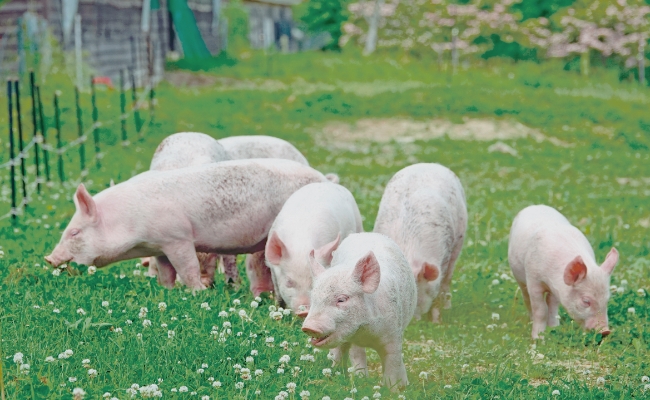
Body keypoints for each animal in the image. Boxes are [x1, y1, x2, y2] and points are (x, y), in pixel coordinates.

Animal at [44, 158, 330, 290]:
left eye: (74, 232)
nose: (48, 258)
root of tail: (324, 179)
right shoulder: (159, 246)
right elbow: (166, 271)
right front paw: (167, 290)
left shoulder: (177, 238)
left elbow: (188, 267)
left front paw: (198, 292)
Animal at [300, 233, 416, 390]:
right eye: (313, 298)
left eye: (341, 299)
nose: (309, 327)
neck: (366, 333)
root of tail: (365, 233)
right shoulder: (353, 339)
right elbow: (356, 356)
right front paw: (359, 379)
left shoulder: (393, 333)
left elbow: (393, 362)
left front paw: (396, 389)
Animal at [370, 162, 466, 322]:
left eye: (415, 294)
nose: (413, 322)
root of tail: (428, 164)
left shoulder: (444, 256)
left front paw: (436, 321)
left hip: (459, 239)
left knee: (448, 278)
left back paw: (447, 307)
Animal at [506, 205, 616, 340]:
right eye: (586, 301)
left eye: (607, 299)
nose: (605, 331)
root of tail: (535, 206)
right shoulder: (534, 281)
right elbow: (541, 310)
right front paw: (538, 339)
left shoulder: (556, 288)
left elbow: (553, 306)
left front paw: (554, 328)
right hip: (519, 277)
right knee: (526, 297)